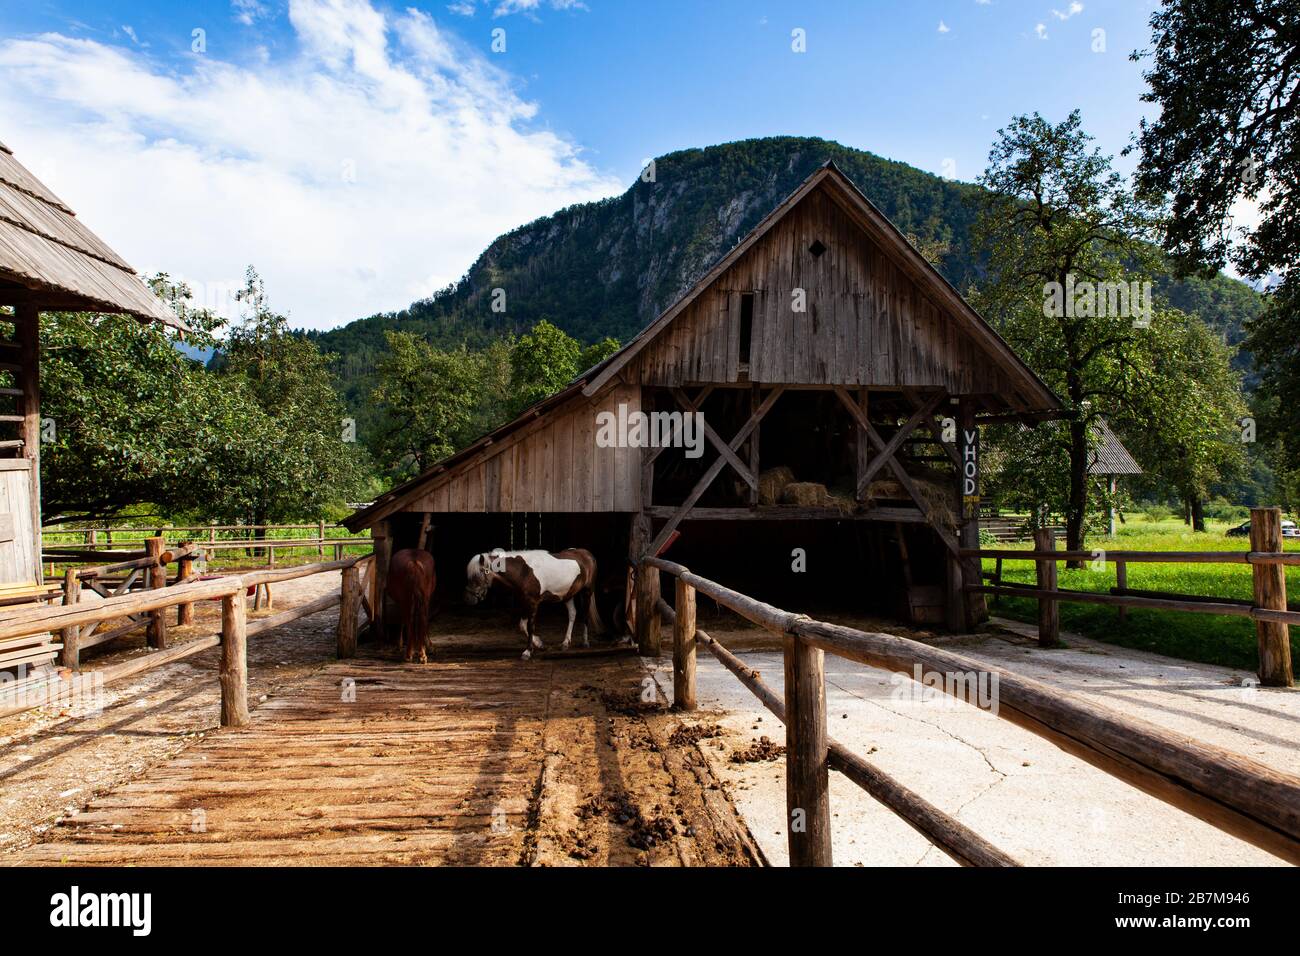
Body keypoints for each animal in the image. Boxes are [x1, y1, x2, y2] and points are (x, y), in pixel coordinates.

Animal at [463, 548, 604, 660]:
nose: (469, 599)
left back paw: (585, 642)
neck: (524, 572)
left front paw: (527, 652)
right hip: (567, 595)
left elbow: (531, 626)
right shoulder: (524, 602)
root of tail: (587, 554)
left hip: (587, 592)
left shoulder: (533, 603)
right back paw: (565, 643)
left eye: (477, 575)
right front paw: (539, 644)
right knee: (572, 614)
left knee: (584, 615)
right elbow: (522, 625)